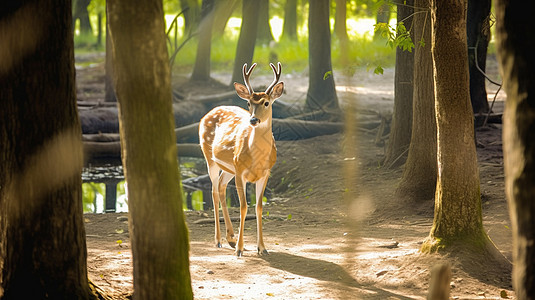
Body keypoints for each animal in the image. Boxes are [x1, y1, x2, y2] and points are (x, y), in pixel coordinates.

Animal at [199, 62, 284, 256]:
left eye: (266, 102)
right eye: (248, 102)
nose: (253, 120)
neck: (257, 159)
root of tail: (208, 112)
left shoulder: (265, 173)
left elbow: (259, 207)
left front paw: (262, 248)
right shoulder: (241, 172)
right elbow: (243, 207)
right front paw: (239, 249)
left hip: (229, 168)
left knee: (221, 186)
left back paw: (230, 237)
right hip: (211, 158)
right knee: (214, 191)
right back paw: (219, 240)